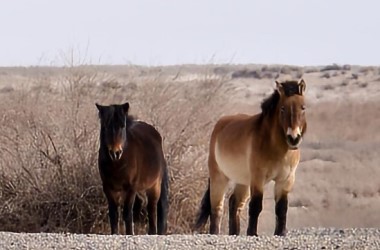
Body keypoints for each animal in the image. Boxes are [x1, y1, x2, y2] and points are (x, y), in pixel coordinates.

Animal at [95, 101, 168, 234]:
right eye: (105, 126)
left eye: (122, 126)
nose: (115, 152)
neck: (117, 163)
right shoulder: (108, 188)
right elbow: (114, 214)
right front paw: (115, 233)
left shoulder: (131, 188)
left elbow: (127, 214)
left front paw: (129, 233)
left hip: (154, 187)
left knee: (152, 210)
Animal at [194, 79, 308, 235]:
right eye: (283, 109)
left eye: (303, 107)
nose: (294, 138)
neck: (278, 149)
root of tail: (221, 124)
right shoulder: (258, 178)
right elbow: (256, 206)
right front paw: (252, 233)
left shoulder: (286, 180)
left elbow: (282, 208)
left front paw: (280, 233)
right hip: (220, 177)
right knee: (217, 207)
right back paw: (215, 233)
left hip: (243, 181)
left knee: (234, 203)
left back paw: (234, 233)